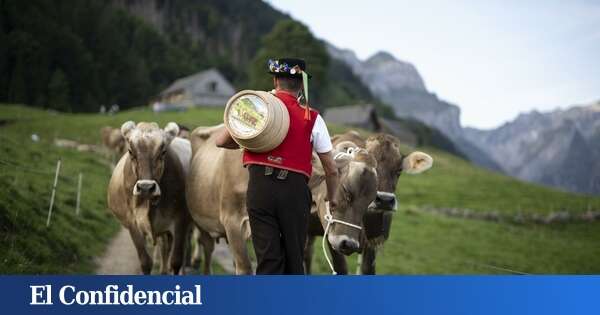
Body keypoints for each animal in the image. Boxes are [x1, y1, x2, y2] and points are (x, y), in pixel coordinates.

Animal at [106, 122, 192, 276]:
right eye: (130, 151)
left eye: (163, 151)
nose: (146, 187)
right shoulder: (133, 225)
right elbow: (145, 262)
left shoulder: (180, 222)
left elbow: (176, 262)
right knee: (164, 248)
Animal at [304, 131, 432, 274]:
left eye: (399, 170)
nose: (385, 200)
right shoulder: (333, 235)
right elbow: (341, 268)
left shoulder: (373, 242)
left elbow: (367, 270)